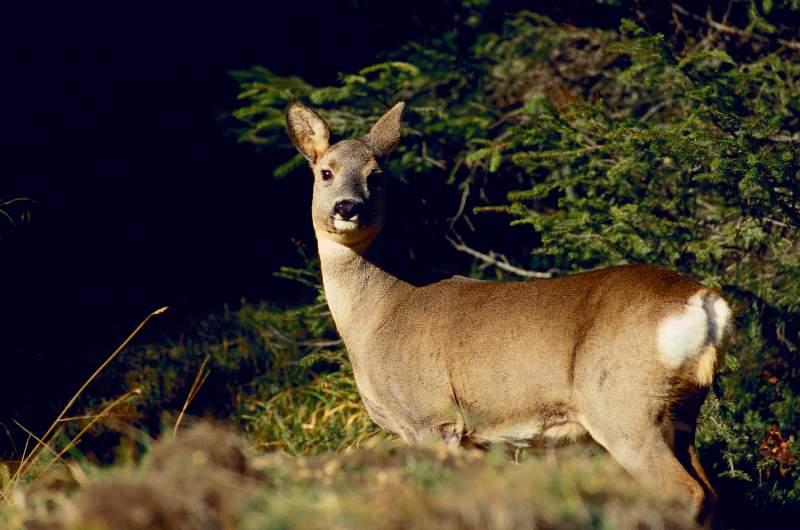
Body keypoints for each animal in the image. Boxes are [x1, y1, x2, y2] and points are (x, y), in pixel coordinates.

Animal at [286, 99, 732, 520]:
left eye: (376, 176)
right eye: (325, 172)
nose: (347, 207)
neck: (378, 316)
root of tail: (705, 303)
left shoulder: (433, 415)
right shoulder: (472, 436)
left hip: (624, 403)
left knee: (685, 492)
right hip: (681, 410)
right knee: (710, 491)